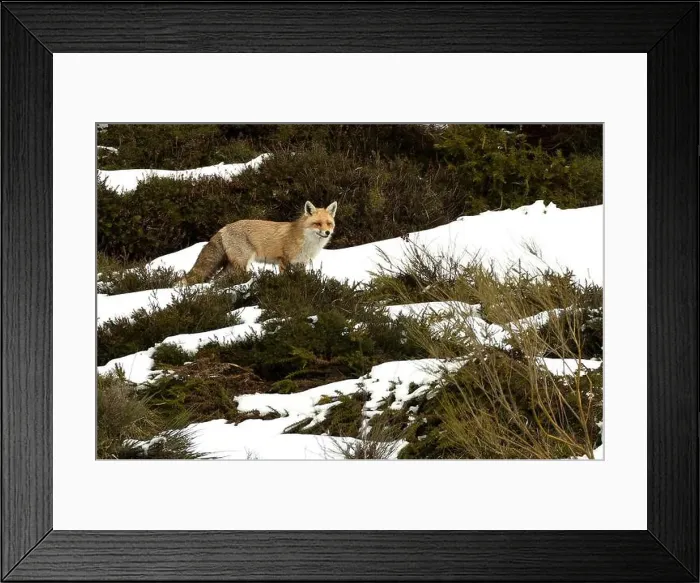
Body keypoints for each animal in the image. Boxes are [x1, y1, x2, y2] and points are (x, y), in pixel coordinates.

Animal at [179, 200, 338, 285]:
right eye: (317, 224)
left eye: (329, 224)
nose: (327, 233)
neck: (306, 243)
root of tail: (223, 228)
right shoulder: (284, 261)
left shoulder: (301, 264)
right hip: (242, 263)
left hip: (232, 265)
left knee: (217, 280)